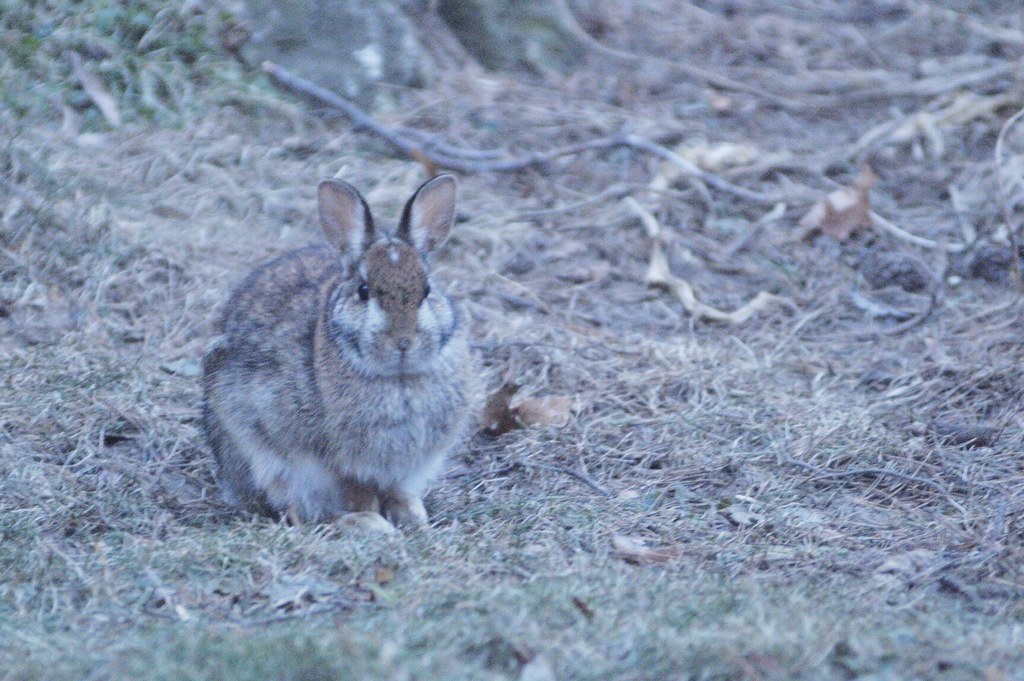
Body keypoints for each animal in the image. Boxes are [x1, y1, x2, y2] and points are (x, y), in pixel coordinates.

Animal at [201, 174, 477, 528]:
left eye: (426, 290)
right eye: (364, 291)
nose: (403, 342)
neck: (398, 379)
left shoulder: (404, 466)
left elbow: (395, 489)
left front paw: (412, 515)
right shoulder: (341, 464)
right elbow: (356, 493)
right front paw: (374, 521)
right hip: (256, 452)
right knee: (295, 509)